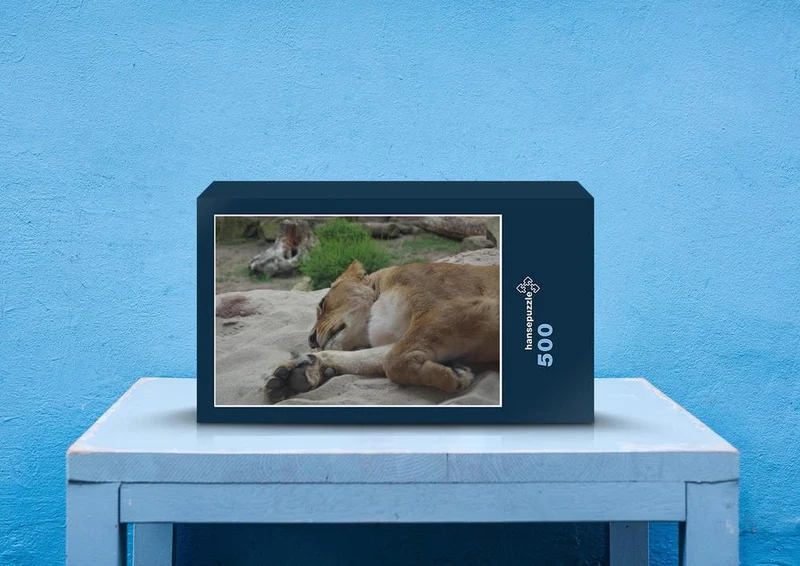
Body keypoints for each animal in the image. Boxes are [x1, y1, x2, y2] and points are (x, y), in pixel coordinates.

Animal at [264, 259, 500, 403]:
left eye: (322, 304)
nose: (311, 340)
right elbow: (370, 358)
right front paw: (298, 372)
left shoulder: (457, 307)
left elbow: (393, 362)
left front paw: (452, 376)